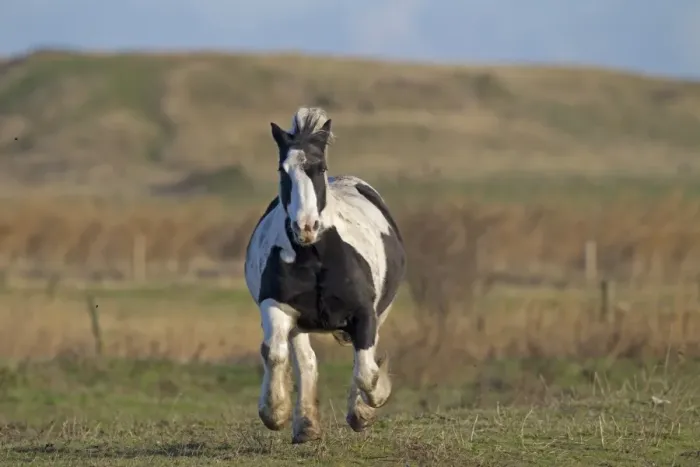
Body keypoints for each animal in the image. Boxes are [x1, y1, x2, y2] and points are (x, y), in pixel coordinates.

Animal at [243, 107, 406, 444]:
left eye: (320, 167)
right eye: (282, 170)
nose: (306, 226)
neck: (316, 256)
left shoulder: (365, 314)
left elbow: (367, 373)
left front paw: (367, 409)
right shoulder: (276, 305)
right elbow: (275, 354)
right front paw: (274, 413)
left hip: (379, 313)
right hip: (300, 324)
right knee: (305, 360)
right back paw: (306, 426)